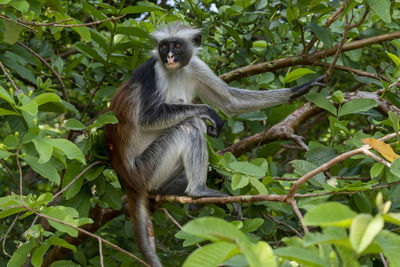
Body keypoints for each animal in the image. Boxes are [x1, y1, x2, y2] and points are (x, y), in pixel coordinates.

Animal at [104, 23, 324, 267]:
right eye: (163, 46)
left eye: (177, 45)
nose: (169, 56)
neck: (175, 71)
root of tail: (127, 179)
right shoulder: (153, 71)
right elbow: (147, 118)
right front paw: (210, 113)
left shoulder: (195, 65)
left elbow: (230, 101)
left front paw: (299, 90)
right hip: (146, 169)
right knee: (190, 124)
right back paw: (198, 192)